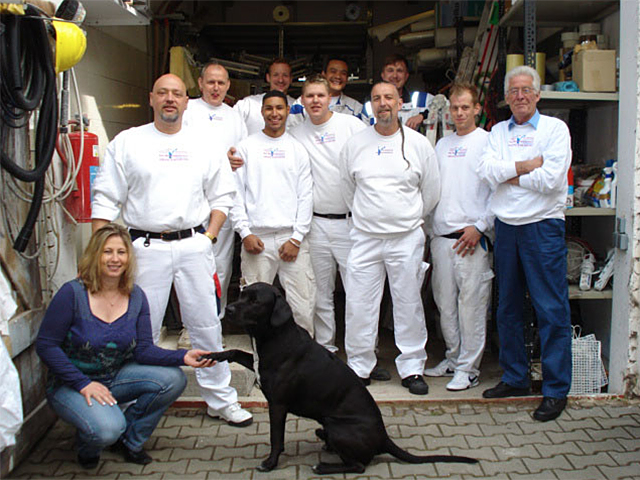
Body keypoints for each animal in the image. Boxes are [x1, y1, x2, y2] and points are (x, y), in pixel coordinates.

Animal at [208, 284, 478, 474]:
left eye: (254, 301)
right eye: (242, 294)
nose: (228, 309)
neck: (274, 336)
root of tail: (383, 437)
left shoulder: (278, 404)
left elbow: (277, 438)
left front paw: (270, 463)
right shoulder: (257, 364)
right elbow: (236, 352)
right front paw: (212, 355)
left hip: (338, 426)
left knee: (359, 465)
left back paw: (323, 466)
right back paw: (324, 442)